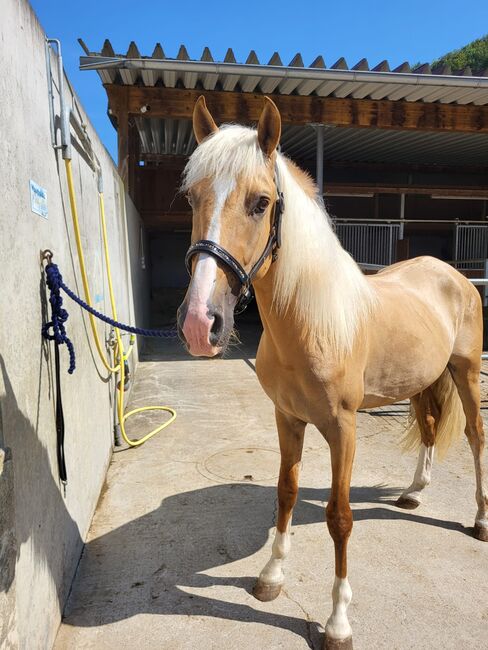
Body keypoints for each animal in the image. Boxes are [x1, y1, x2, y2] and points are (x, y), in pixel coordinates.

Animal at [176, 96, 488, 648]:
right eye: (192, 198)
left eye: (260, 202)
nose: (199, 324)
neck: (311, 321)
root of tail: (454, 274)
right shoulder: (286, 419)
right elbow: (286, 493)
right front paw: (271, 577)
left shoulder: (344, 428)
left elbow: (339, 518)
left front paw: (338, 622)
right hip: (423, 381)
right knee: (431, 428)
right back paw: (413, 493)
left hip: (466, 373)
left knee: (475, 435)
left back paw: (478, 520)